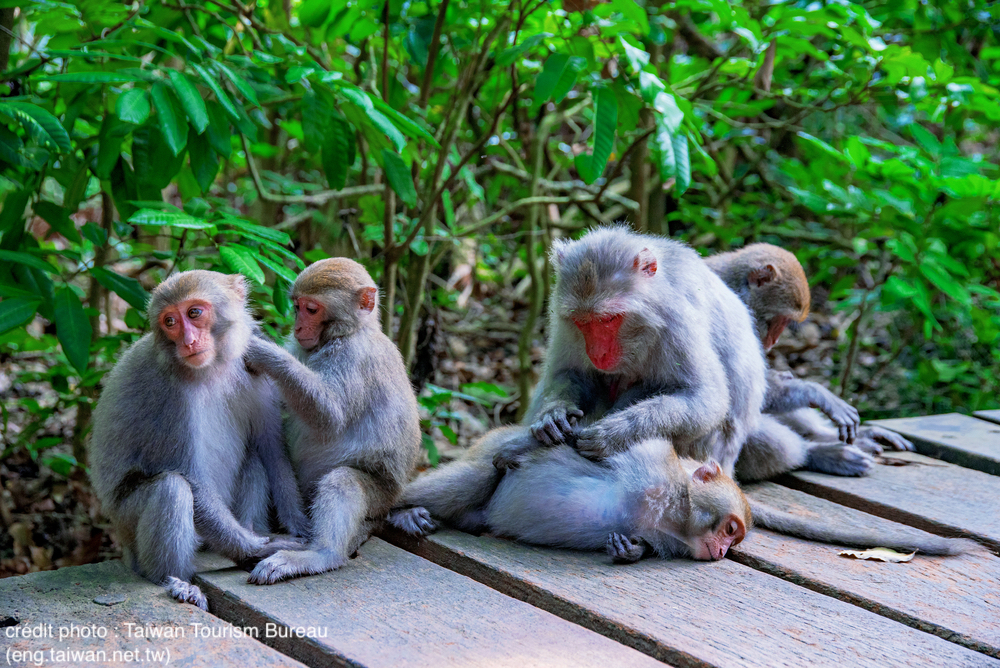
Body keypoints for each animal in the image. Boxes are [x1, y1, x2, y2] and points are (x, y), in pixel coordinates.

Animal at [90, 272, 308, 612]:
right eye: (169, 322)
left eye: (194, 313)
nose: (188, 341)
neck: (212, 367)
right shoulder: (167, 394)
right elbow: (190, 478)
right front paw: (259, 549)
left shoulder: (252, 365)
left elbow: (271, 449)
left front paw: (298, 526)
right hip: (126, 524)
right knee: (172, 489)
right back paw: (176, 583)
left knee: (254, 459)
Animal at [390, 426, 752, 560]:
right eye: (730, 529)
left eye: (732, 541)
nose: (721, 552)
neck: (674, 514)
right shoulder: (653, 461)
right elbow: (589, 446)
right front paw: (521, 446)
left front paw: (631, 549)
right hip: (483, 451)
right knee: (478, 475)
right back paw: (400, 510)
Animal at [704, 243, 916, 482]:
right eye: (778, 320)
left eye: (785, 322)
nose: (774, 341)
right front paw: (816, 393)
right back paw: (820, 453)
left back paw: (844, 437)